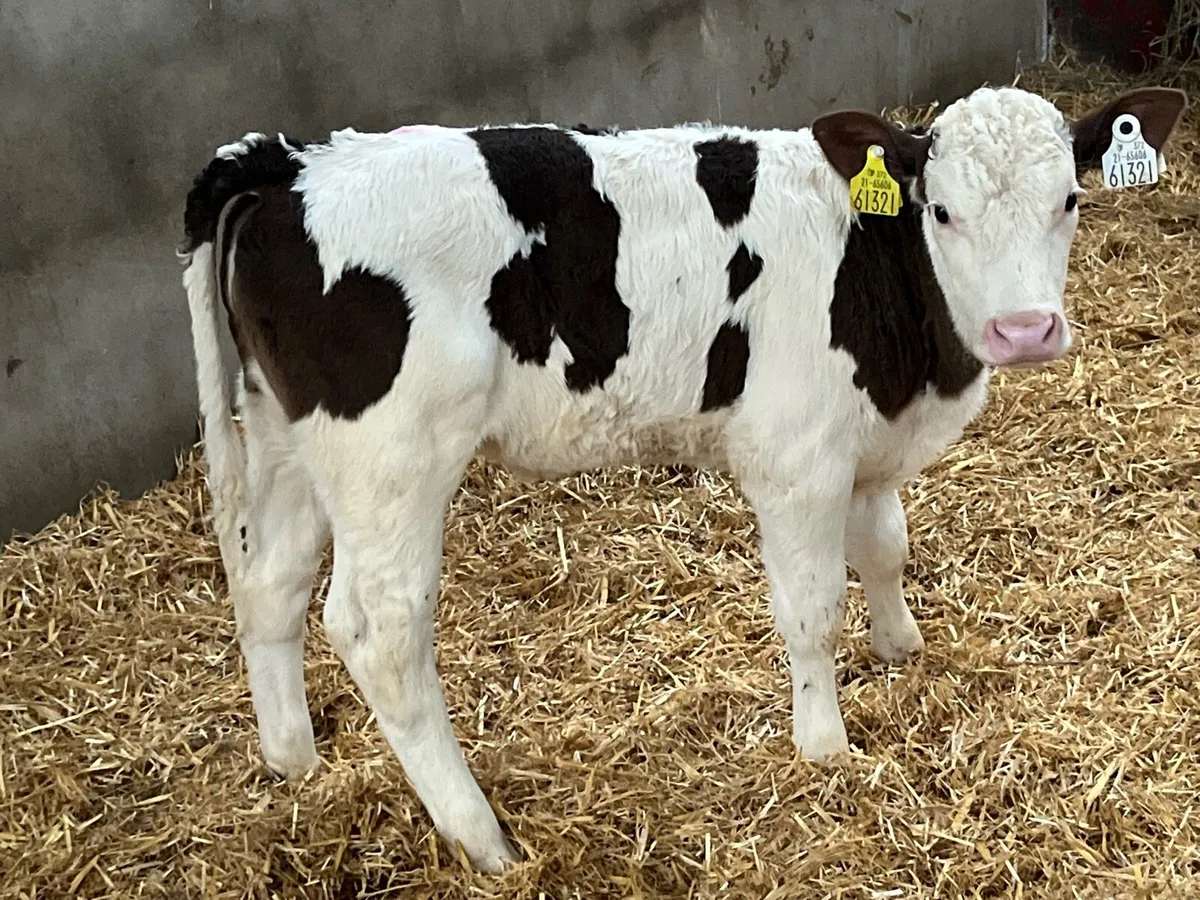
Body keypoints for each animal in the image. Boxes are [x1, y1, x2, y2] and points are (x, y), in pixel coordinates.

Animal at [178, 85, 1186, 871]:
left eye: (1070, 200)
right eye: (942, 212)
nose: (1025, 330)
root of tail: (290, 165)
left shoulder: (862, 445)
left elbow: (885, 548)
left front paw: (902, 649)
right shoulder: (794, 458)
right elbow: (813, 606)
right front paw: (824, 747)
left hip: (285, 436)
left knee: (269, 584)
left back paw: (294, 766)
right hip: (392, 456)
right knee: (378, 628)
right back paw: (481, 838)